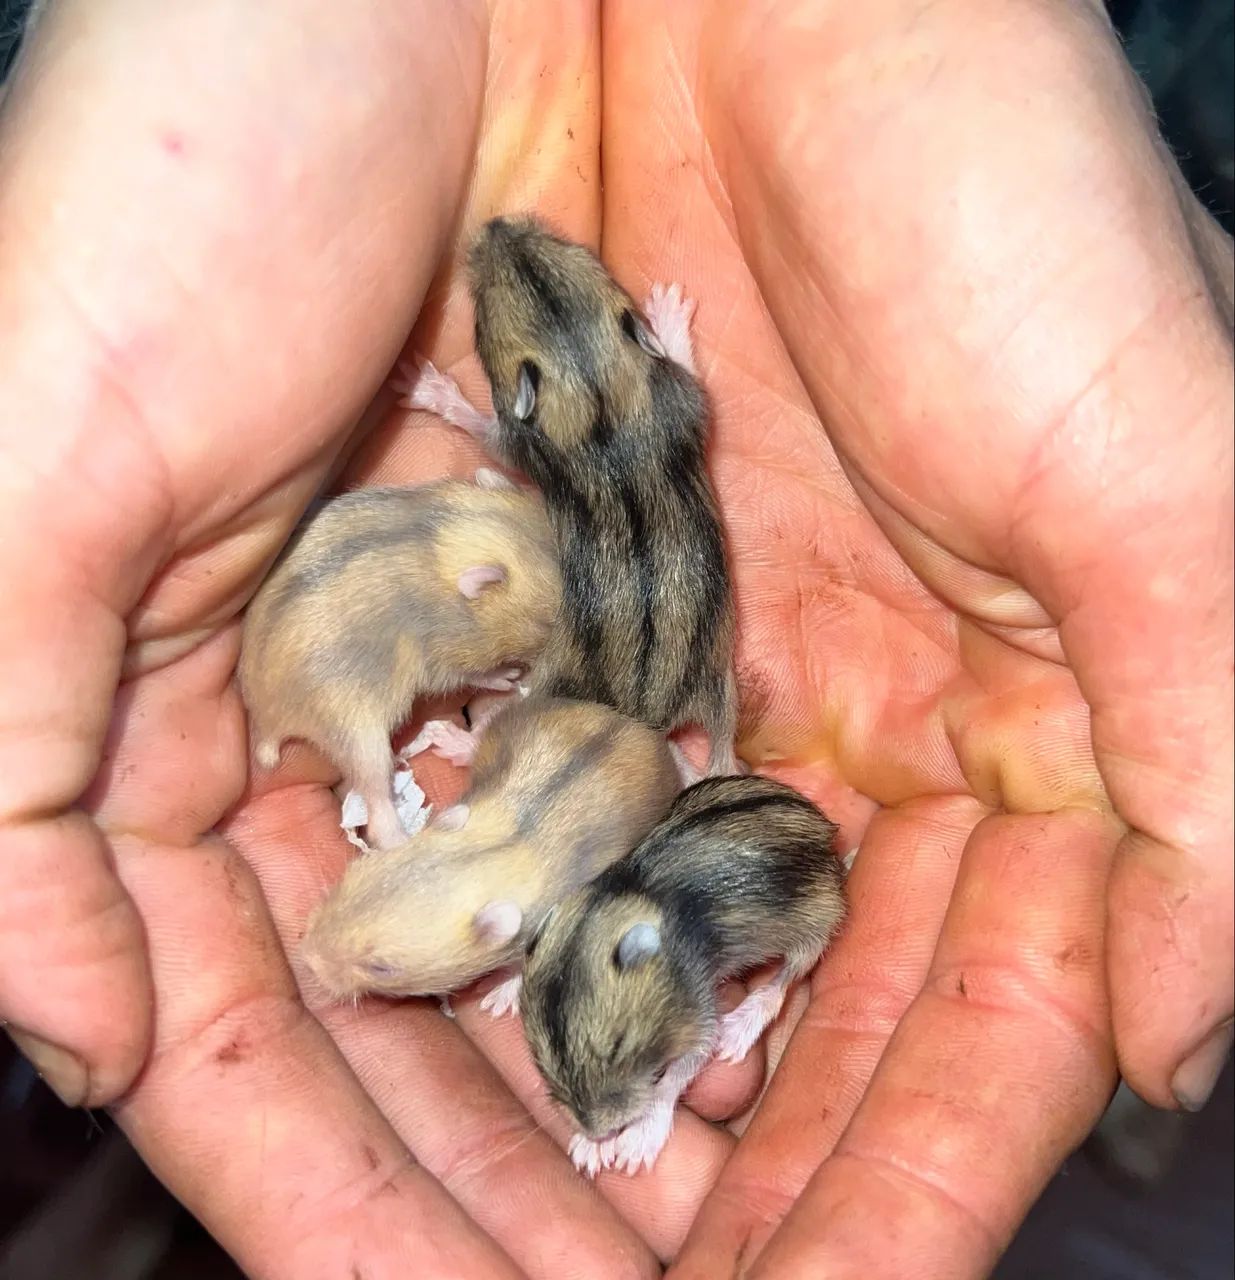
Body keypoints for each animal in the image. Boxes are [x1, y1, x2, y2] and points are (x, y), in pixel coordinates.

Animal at [238, 477, 560, 850]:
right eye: (546, 622)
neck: (438, 542)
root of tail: (267, 723)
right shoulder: (443, 657)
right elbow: (476, 675)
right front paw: (509, 675)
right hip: (360, 736)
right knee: (377, 810)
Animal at [298, 694, 683, 1004]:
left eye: (381, 967)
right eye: (351, 877)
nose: (309, 958)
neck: (498, 852)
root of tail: (636, 725)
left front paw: (498, 999)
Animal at [403, 215, 740, 776]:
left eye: (479, 317)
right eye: (574, 248)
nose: (495, 224)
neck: (596, 398)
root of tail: (646, 717)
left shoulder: (515, 442)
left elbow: (483, 429)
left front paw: (423, 385)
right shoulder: (686, 399)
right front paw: (667, 305)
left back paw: (449, 740)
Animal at [519, 773, 847, 1177]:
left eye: (619, 1045)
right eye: (539, 1056)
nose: (597, 1129)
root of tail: (827, 829)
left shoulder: (698, 1011)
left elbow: (679, 1071)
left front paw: (632, 1148)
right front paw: (590, 1151)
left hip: (819, 919)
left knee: (784, 981)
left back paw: (737, 1035)